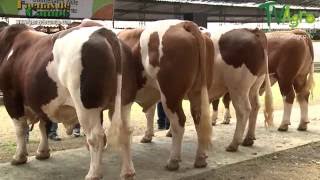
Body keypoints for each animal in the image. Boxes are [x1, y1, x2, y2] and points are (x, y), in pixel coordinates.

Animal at [0, 23, 135, 179]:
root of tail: (104, 32)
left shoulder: (11, 95)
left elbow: (20, 129)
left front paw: (19, 157)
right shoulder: (42, 101)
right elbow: (43, 125)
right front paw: (43, 152)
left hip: (86, 105)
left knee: (96, 136)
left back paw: (93, 174)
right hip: (125, 101)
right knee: (126, 131)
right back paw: (128, 171)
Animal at [117, 19, 212, 170]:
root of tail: (183, 24)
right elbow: (149, 112)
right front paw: (147, 136)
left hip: (170, 94)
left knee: (179, 122)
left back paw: (173, 161)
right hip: (198, 92)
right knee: (199, 119)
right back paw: (200, 158)